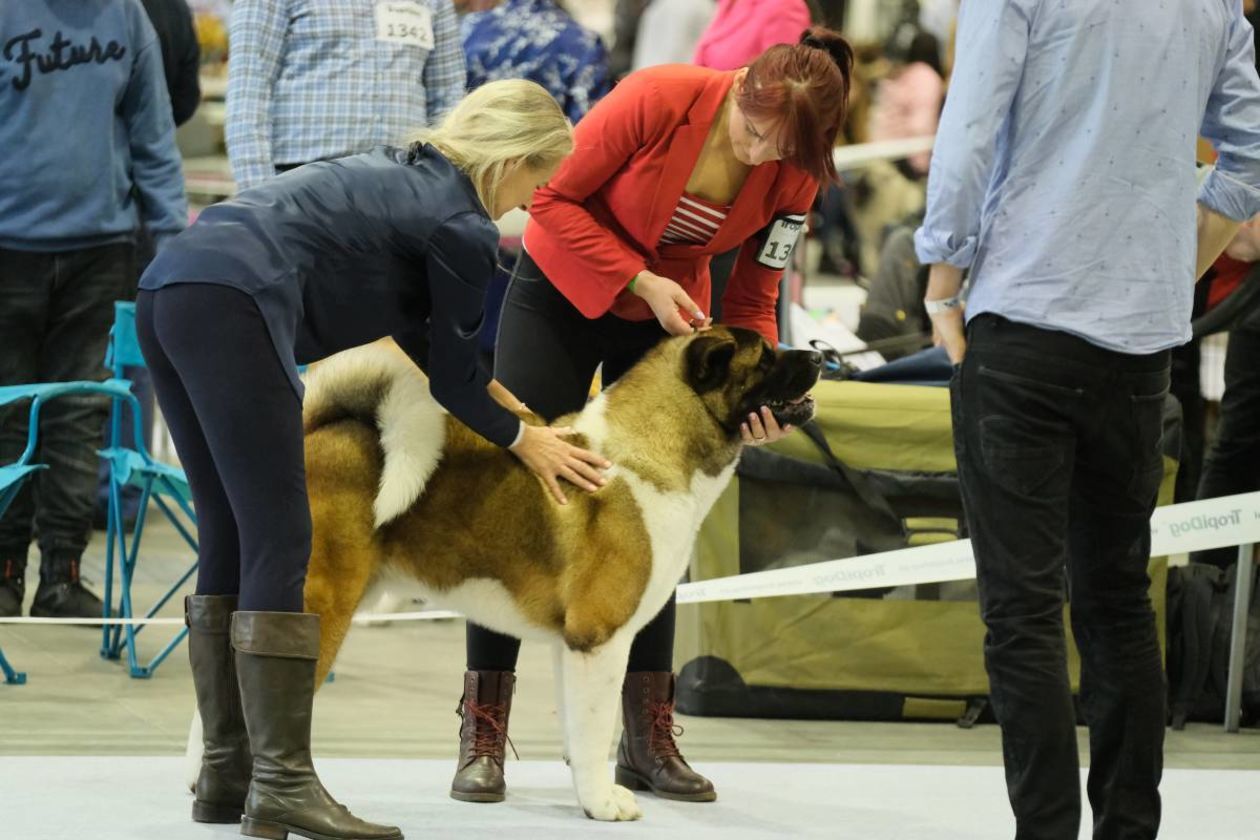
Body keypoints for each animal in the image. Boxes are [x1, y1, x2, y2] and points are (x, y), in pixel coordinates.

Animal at [183, 327, 816, 821]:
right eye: (765, 356)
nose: (819, 354)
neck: (638, 455)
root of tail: (316, 431)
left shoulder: (573, 646)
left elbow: (577, 728)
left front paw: (586, 794)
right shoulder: (601, 640)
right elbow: (596, 729)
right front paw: (604, 804)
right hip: (321, 600)